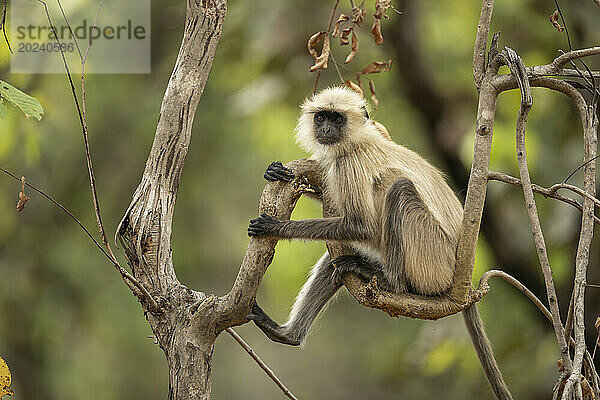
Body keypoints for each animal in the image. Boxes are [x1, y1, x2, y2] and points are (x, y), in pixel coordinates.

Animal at [246, 86, 512, 398]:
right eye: (322, 117)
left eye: (337, 119)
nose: (325, 129)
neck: (358, 139)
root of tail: (462, 276)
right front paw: (277, 172)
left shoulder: (348, 163)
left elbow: (361, 225)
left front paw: (276, 227)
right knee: (336, 262)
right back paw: (286, 334)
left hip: (432, 259)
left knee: (400, 190)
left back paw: (390, 283)